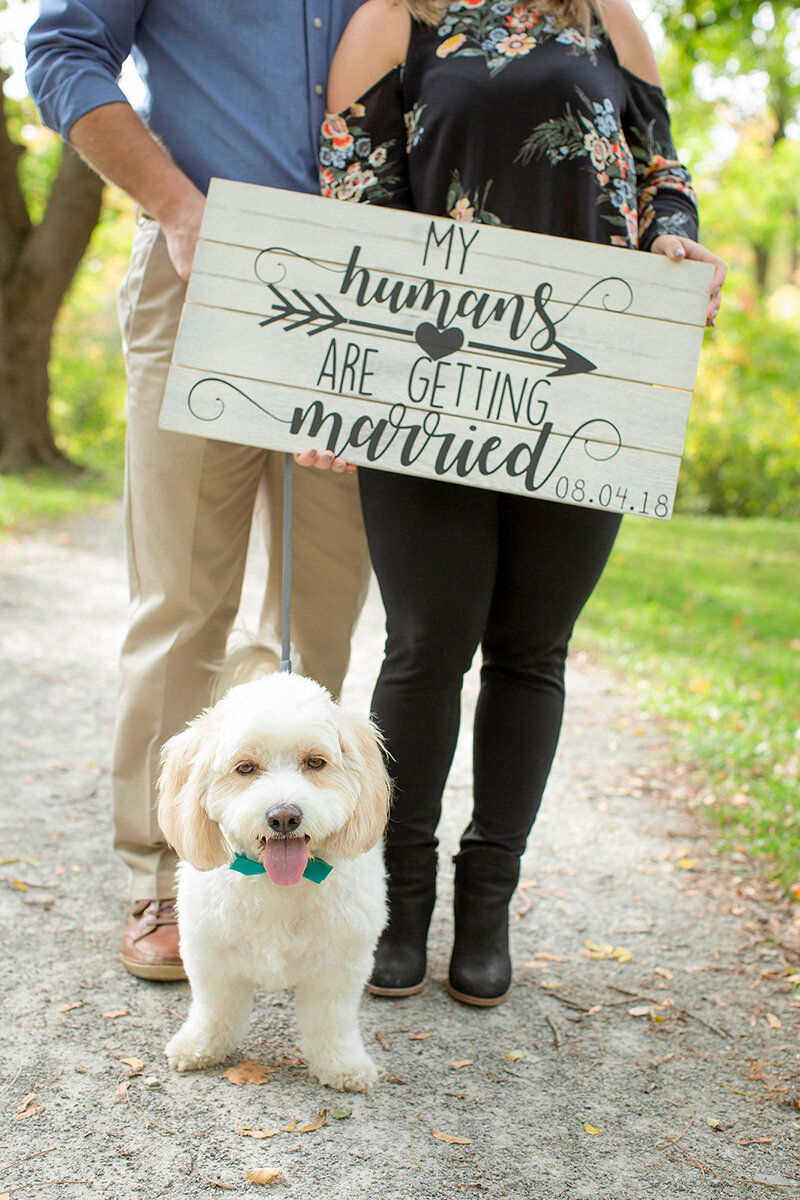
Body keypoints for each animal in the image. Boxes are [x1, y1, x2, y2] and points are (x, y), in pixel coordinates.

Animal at [157, 676, 391, 1099]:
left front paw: (342, 1064)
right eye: (245, 767)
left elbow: (333, 1021)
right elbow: (213, 1008)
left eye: (315, 762)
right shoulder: (211, 954)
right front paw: (200, 1045)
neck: (277, 882)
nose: (284, 817)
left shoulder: (339, 965)